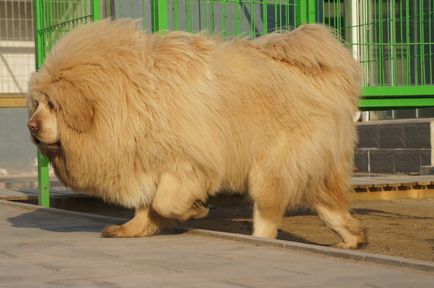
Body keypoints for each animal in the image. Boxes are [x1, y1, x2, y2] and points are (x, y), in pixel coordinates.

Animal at [27, 19, 366, 249]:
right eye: (37, 103)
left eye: (52, 104)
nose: (30, 125)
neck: (130, 96)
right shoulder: (144, 160)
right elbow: (146, 205)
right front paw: (134, 228)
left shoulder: (185, 163)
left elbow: (164, 202)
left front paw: (194, 210)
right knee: (328, 203)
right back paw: (353, 238)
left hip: (270, 167)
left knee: (268, 213)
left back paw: (261, 241)